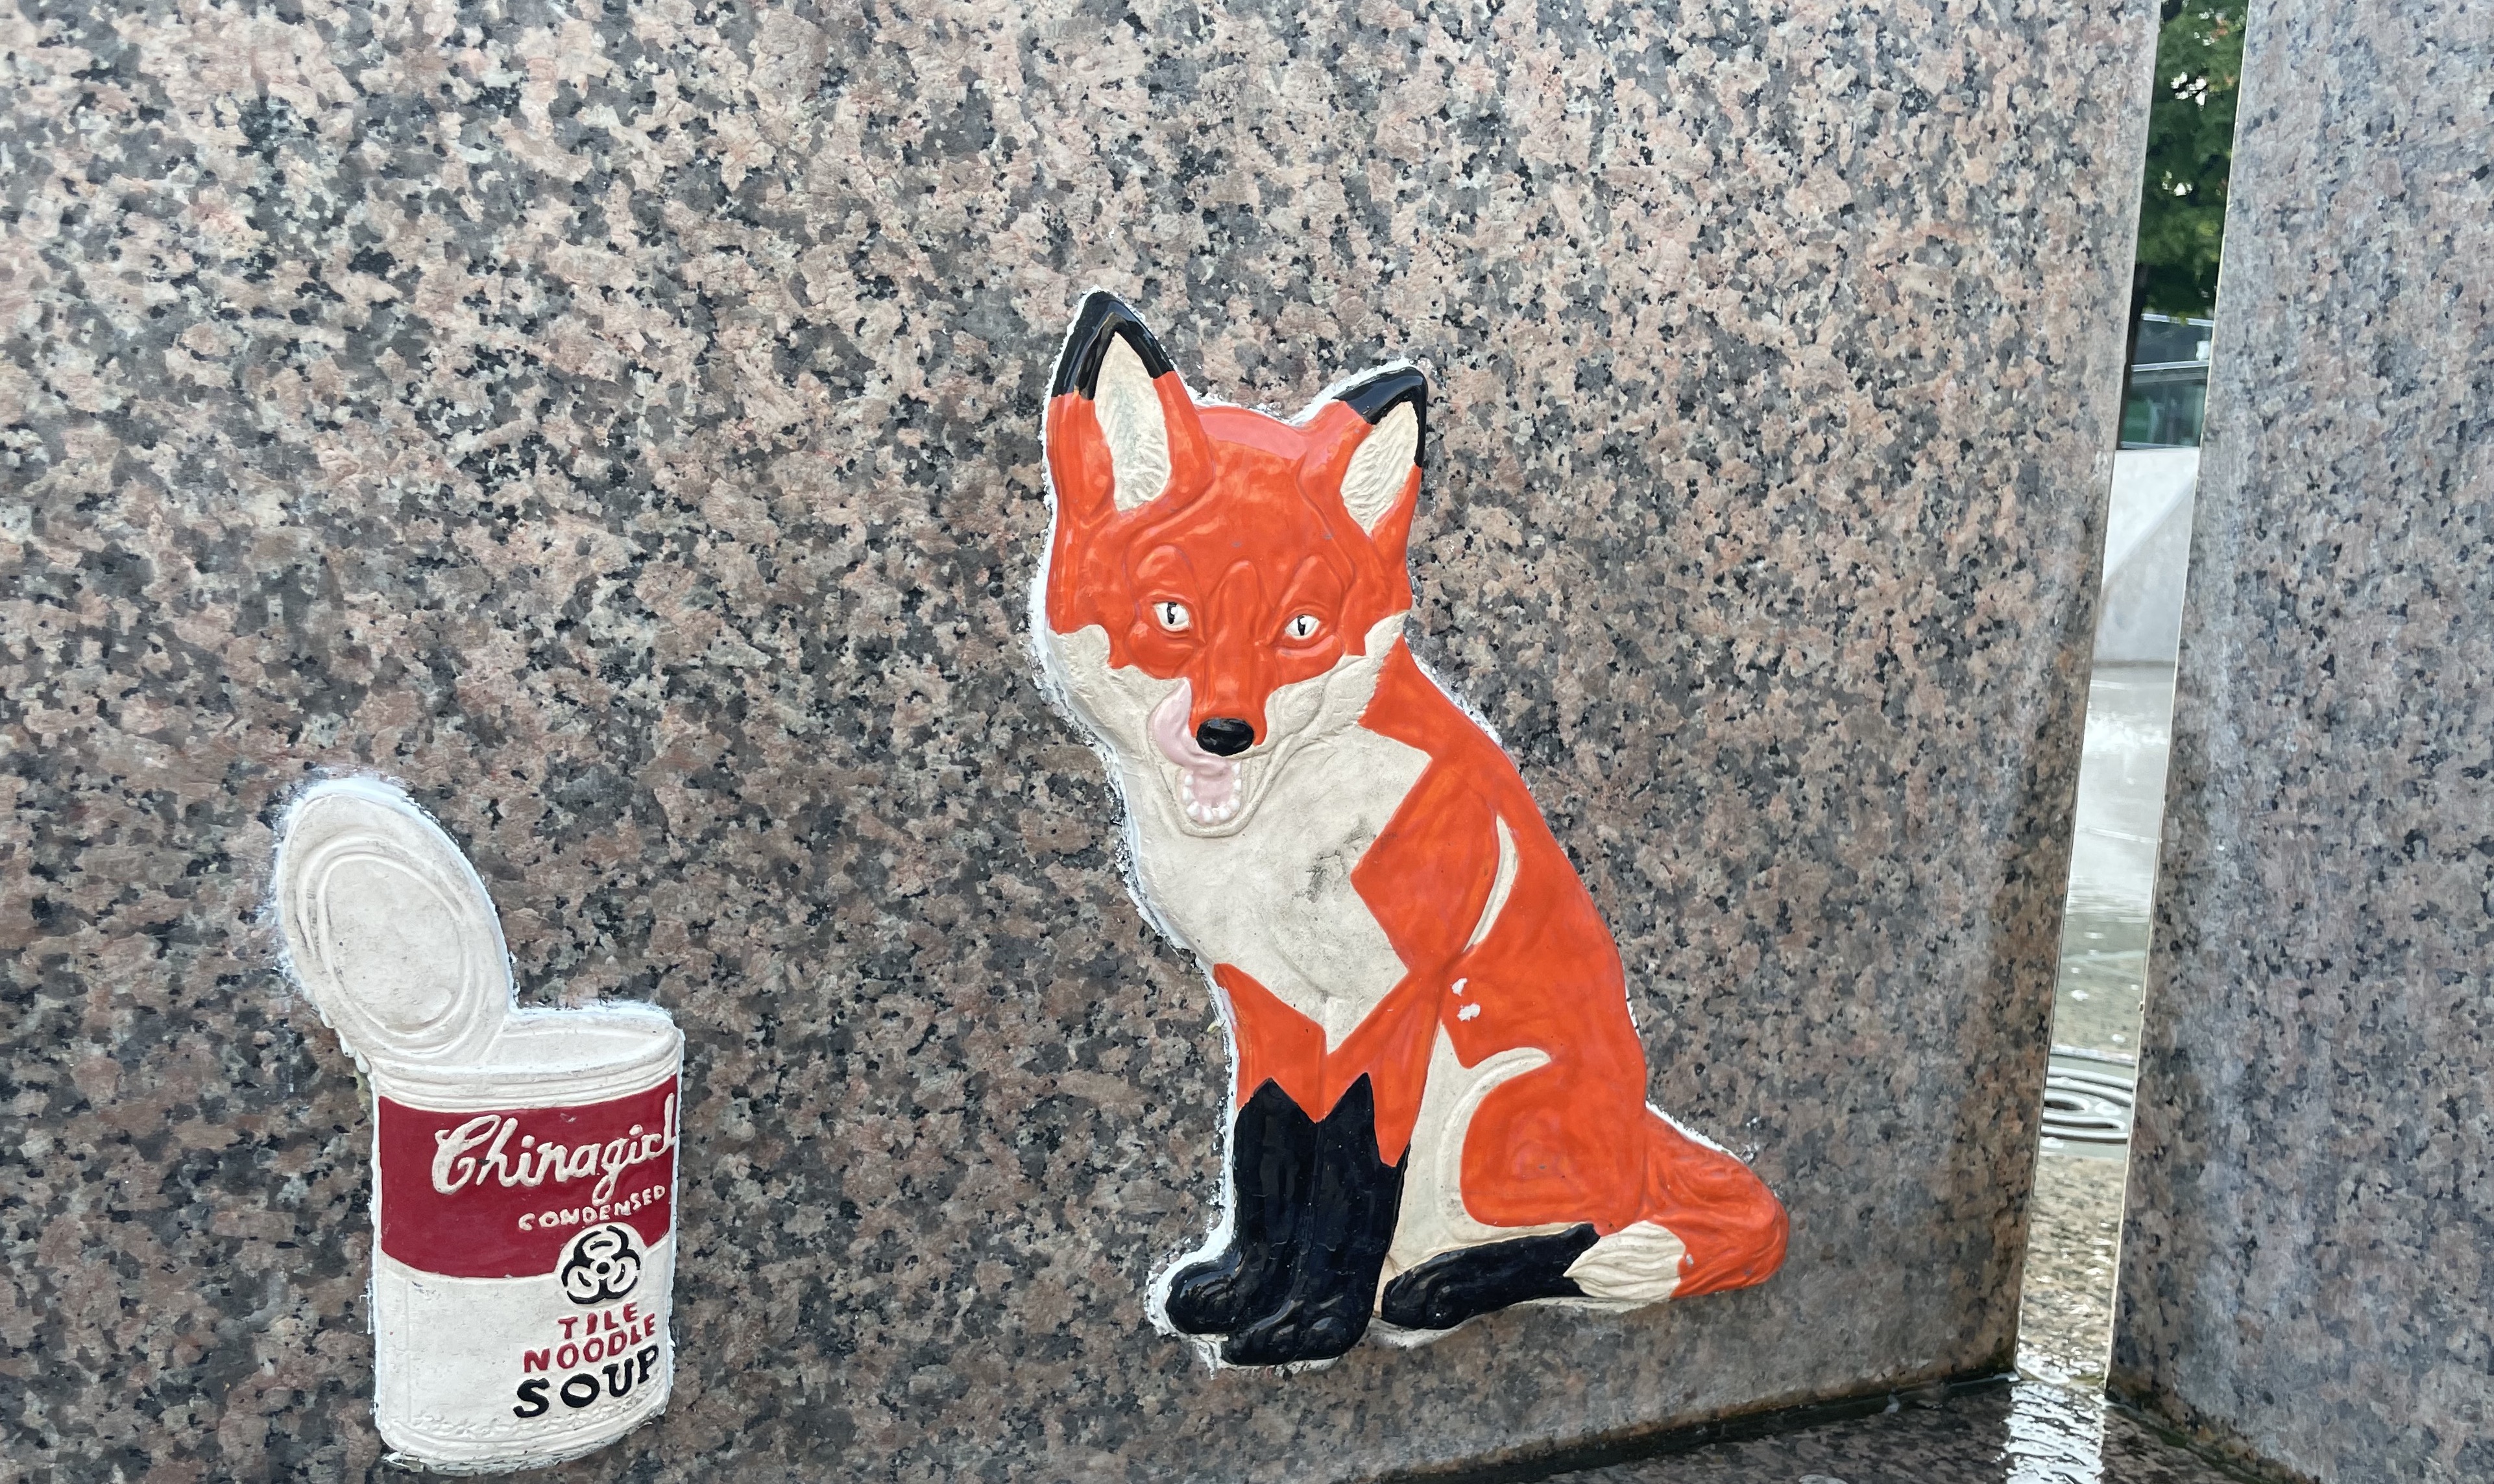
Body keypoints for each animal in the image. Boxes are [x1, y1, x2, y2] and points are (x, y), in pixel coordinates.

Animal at [1032, 291, 1788, 1368]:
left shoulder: (1387, 1000)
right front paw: (1241, 1293)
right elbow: (1266, 1154)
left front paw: (1314, 1325)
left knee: (1600, 1231)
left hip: (1494, 1116)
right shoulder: (1263, 999)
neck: (1264, 845)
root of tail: (1645, 1127)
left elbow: (1351, 1178)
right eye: (1171, 614)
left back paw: (1442, 1287)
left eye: (1303, 628)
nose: (1227, 732)